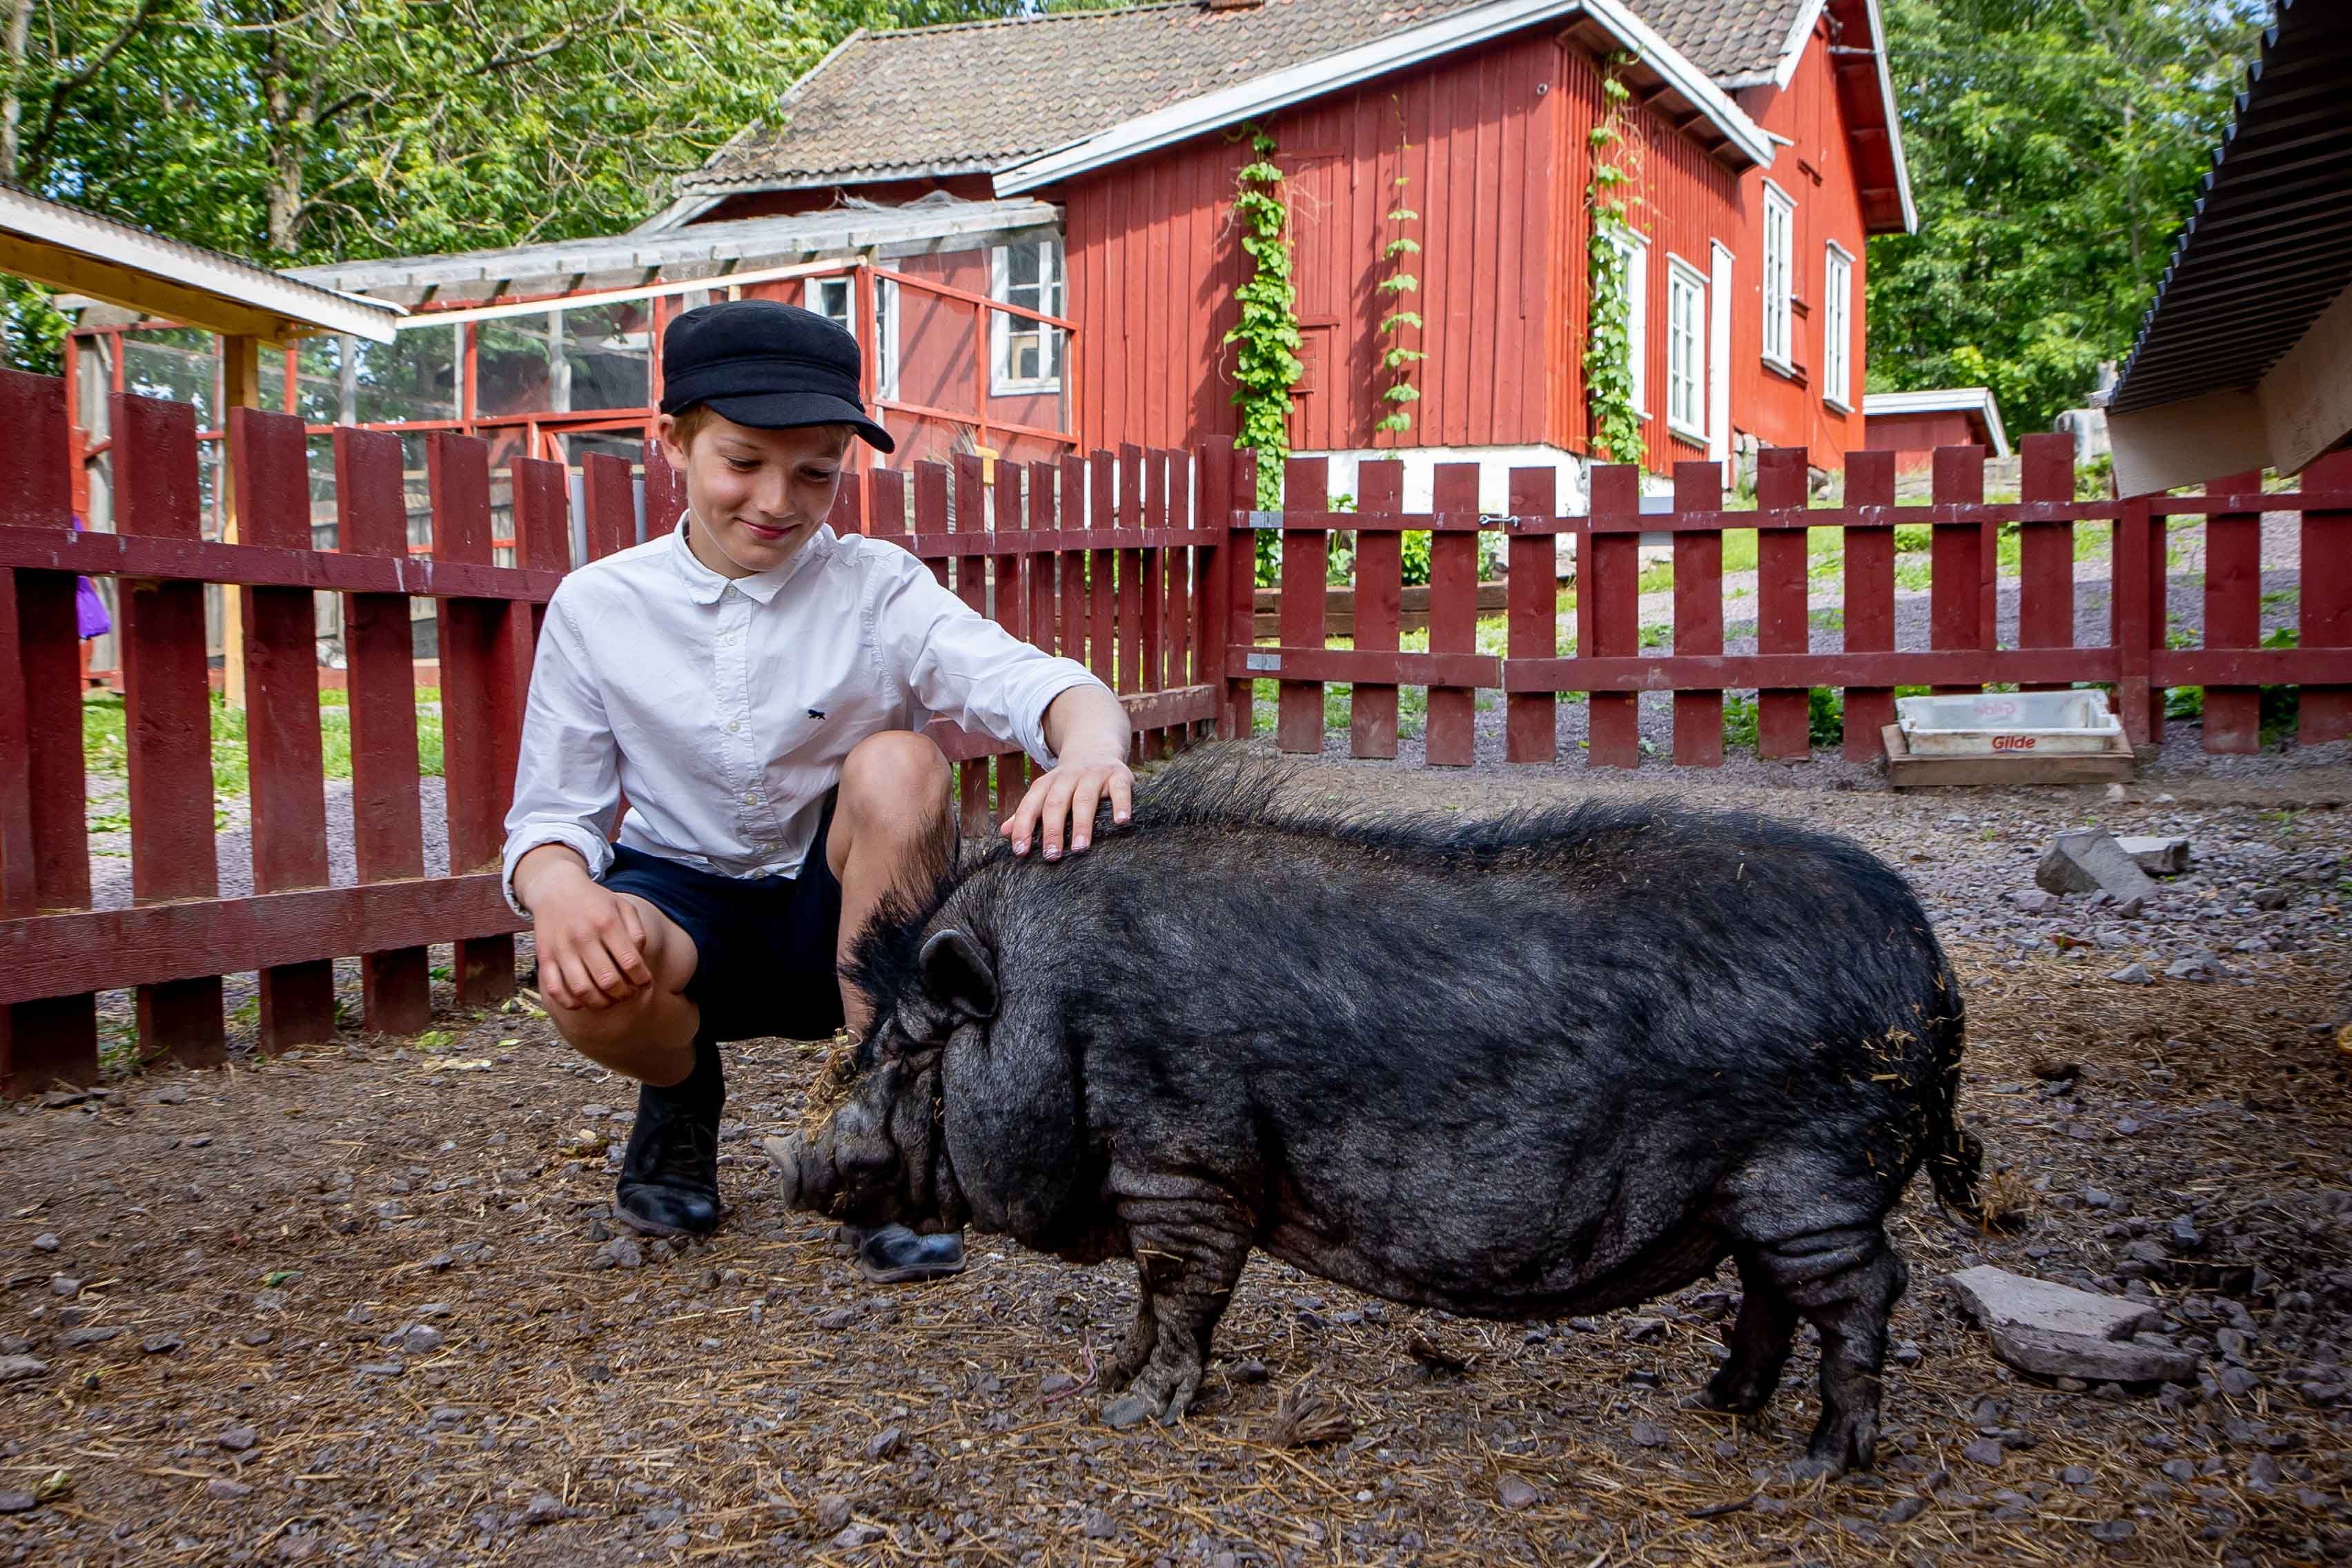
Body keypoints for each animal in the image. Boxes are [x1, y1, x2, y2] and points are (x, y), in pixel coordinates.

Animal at [769, 747, 1982, 1475]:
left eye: (906, 1048)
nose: (792, 1165)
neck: (1055, 1013)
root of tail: (1931, 966)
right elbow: (1152, 1305)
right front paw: (1110, 1378)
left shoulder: (1185, 1165)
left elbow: (1182, 1294)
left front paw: (1129, 1414)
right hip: (1761, 1195)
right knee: (1776, 1294)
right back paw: (1722, 1403)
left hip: (1814, 1176)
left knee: (1866, 1289)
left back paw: (1821, 1460)